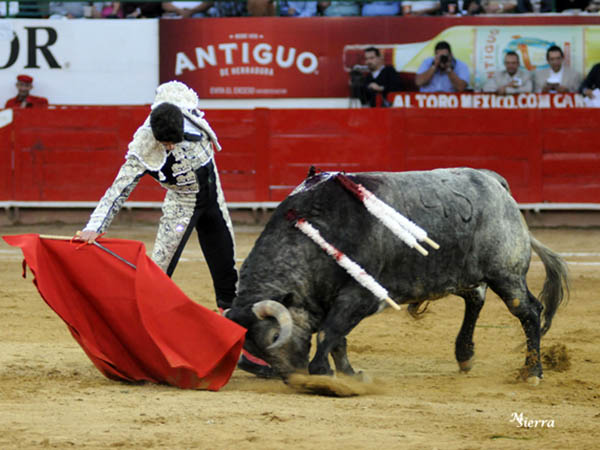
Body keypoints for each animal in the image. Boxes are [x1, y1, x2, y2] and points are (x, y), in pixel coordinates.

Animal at [225, 167, 568, 384]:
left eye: (273, 337)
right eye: (254, 349)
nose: (292, 377)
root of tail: (493, 180)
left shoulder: (358, 296)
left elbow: (329, 333)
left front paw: (323, 373)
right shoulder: (334, 301)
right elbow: (338, 339)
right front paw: (350, 373)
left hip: (506, 273)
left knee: (528, 311)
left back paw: (532, 373)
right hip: (458, 271)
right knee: (475, 298)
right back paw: (464, 355)